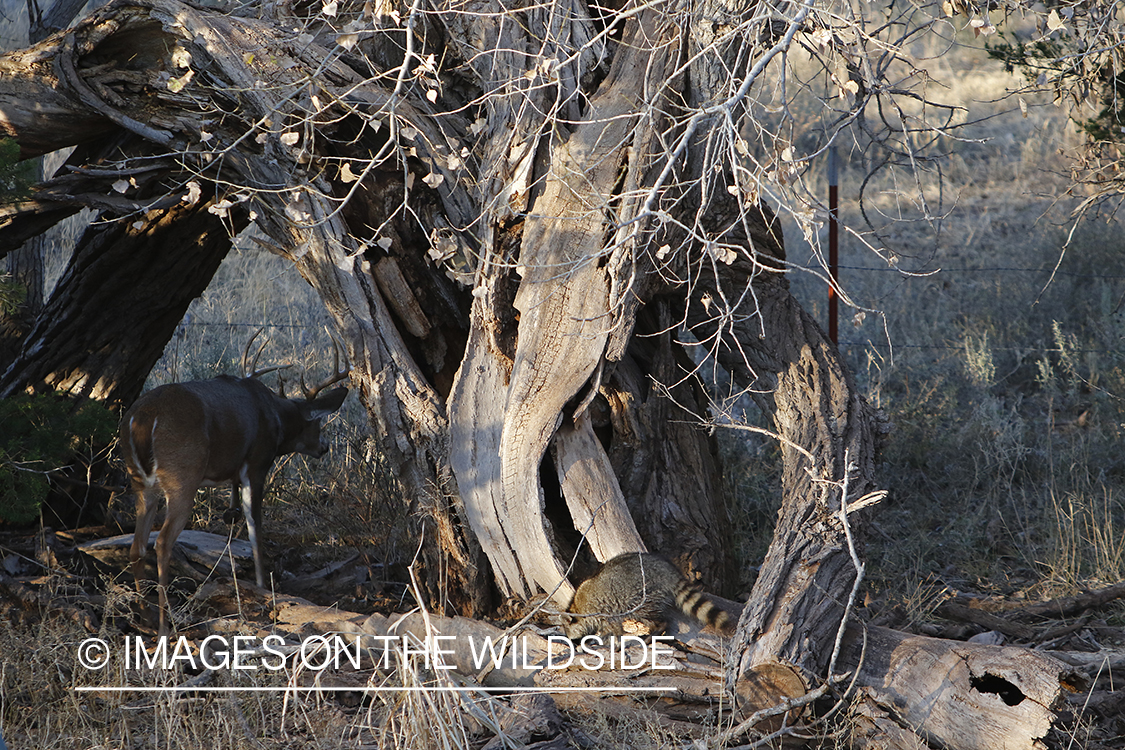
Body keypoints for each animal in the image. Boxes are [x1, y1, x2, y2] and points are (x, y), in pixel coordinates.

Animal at [120, 335, 348, 634]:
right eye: (318, 423)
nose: (324, 447)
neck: (276, 417)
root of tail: (143, 419)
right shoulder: (256, 463)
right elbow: (255, 527)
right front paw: (263, 586)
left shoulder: (234, 477)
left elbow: (235, 516)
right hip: (182, 476)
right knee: (162, 542)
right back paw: (163, 624)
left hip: (139, 481)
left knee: (137, 546)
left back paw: (144, 616)